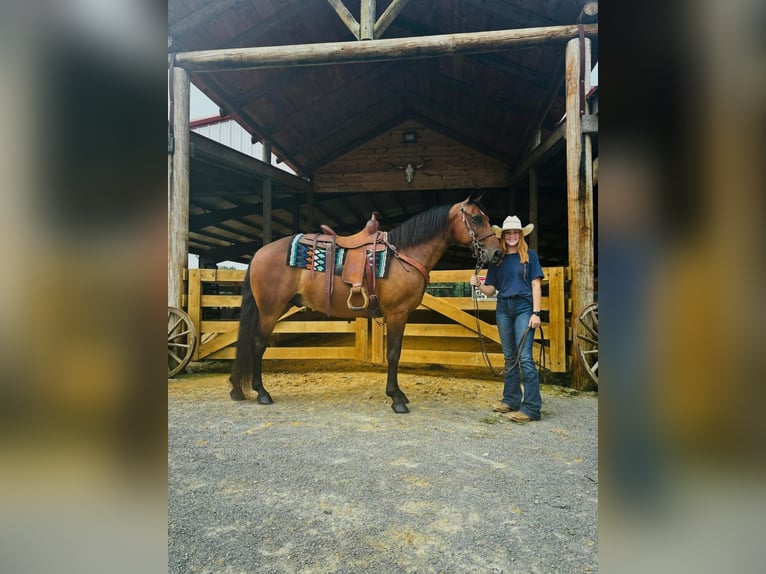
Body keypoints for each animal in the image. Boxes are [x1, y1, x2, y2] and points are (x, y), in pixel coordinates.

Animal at [228, 198, 504, 414]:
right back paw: (261, 392)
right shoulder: (397, 314)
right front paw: (396, 398)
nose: (498, 253)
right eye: (477, 219)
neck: (404, 255)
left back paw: (237, 389)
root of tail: (259, 253)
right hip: (270, 311)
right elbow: (393, 354)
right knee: (257, 345)